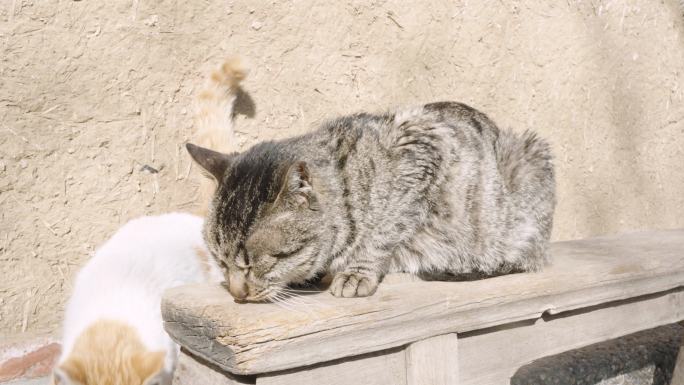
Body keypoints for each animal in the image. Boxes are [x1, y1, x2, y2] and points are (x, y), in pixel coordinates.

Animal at [187, 100, 556, 298]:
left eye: (255, 263)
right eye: (220, 261)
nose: (237, 294)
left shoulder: (423, 149)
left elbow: (383, 231)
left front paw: (356, 271)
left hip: (529, 162)